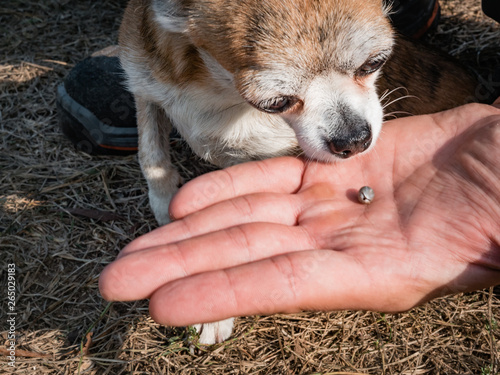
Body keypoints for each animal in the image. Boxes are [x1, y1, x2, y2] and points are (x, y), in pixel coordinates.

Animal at [117, 0, 476, 346]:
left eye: (373, 64)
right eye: (276, 102)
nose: (354, 140)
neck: (215, 85)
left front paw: (211, 310)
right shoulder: (145, 87)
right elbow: (152, 156)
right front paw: (165, 207)